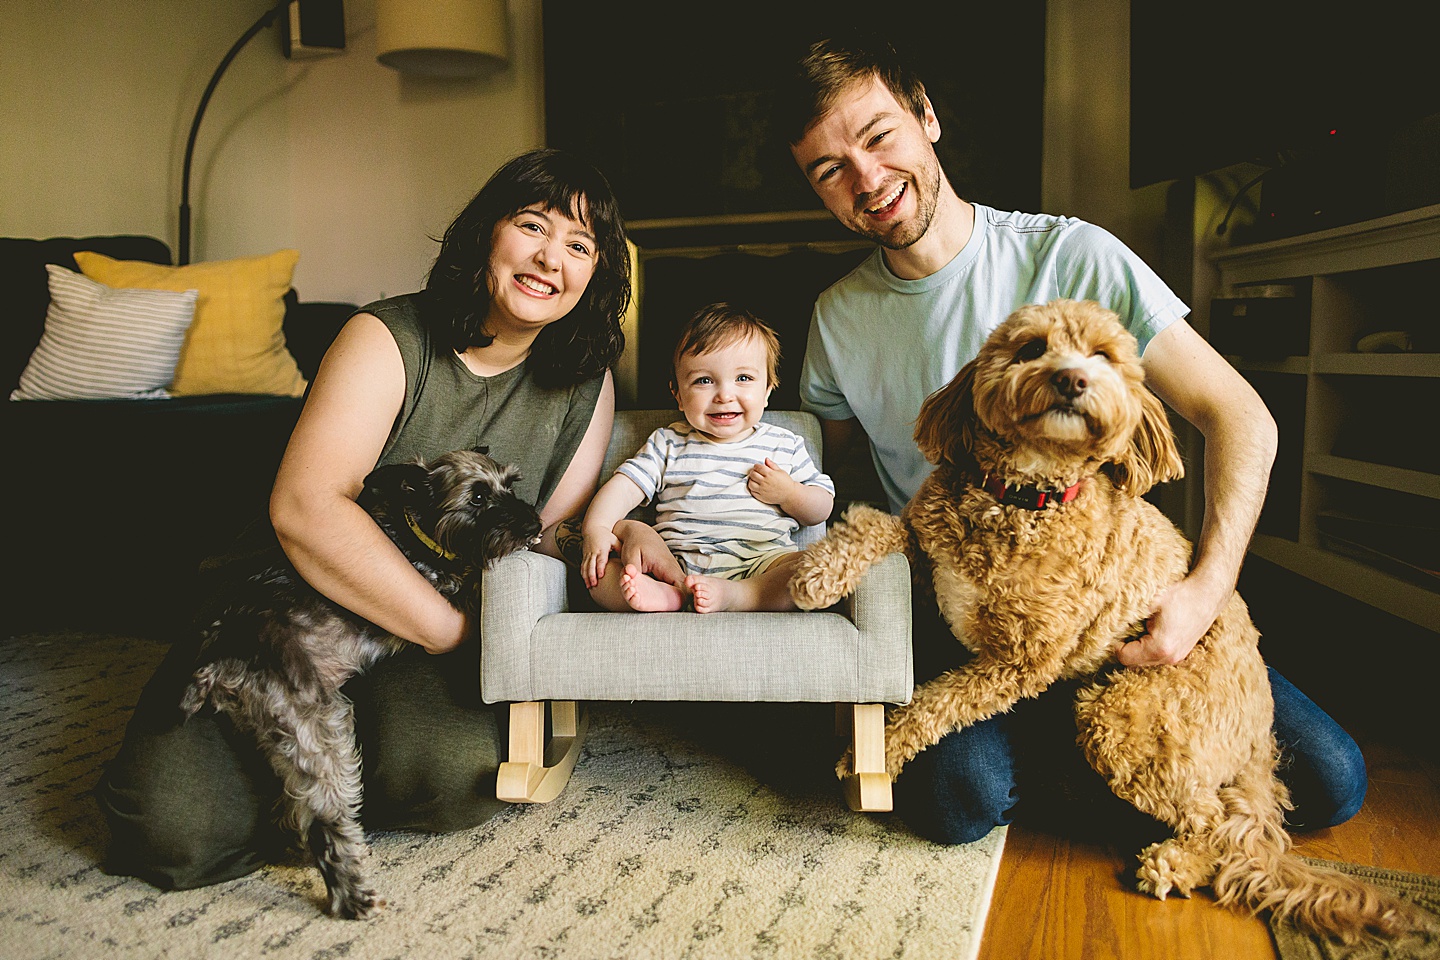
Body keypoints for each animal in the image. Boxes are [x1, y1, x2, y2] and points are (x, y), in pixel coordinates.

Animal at [178, 449, 541, 915]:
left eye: (509, 486)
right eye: (477, 497)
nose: (534, 523)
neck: (418, 533)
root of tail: (218, 659)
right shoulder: (453, 592)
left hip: (283, 741)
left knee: (292, 812)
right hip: (322, 732)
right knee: (324, 822)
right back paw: (352, 896)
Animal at [794, 296, 1434, 944]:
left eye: (1102, 356)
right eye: (1031, 348)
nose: (1072, 380)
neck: (1021, 497)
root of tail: (1260, 732)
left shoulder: (1017, 663)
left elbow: (933, 704)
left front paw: (873, 752)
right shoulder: (928, 554)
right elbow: (875, 525)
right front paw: (817, 571)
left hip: (1125, 716)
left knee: (1213, 821)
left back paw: (1174, 862)